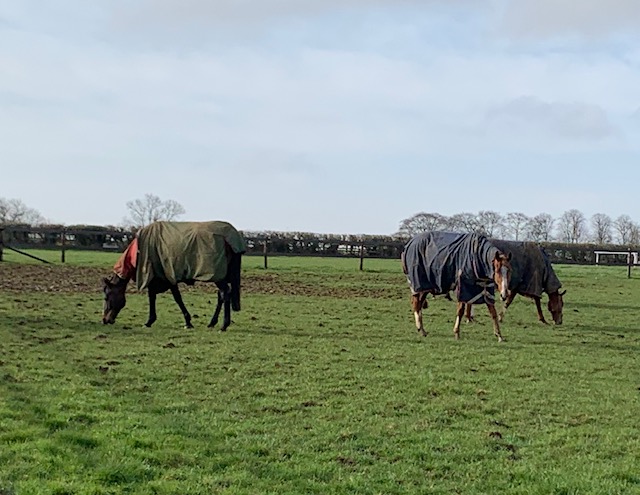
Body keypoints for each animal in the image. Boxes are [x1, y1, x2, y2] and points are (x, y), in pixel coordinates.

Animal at [102, 222, 245, 332]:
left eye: (106, 297)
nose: (105, 320)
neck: (137, 252)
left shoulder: (161, 278)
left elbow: (171, 298)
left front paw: (150, 321)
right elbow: (167, 297)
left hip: (218, 277)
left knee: (225, 293)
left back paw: (224, 325)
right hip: (219, 277)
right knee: (221, 295)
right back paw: (212, 323)